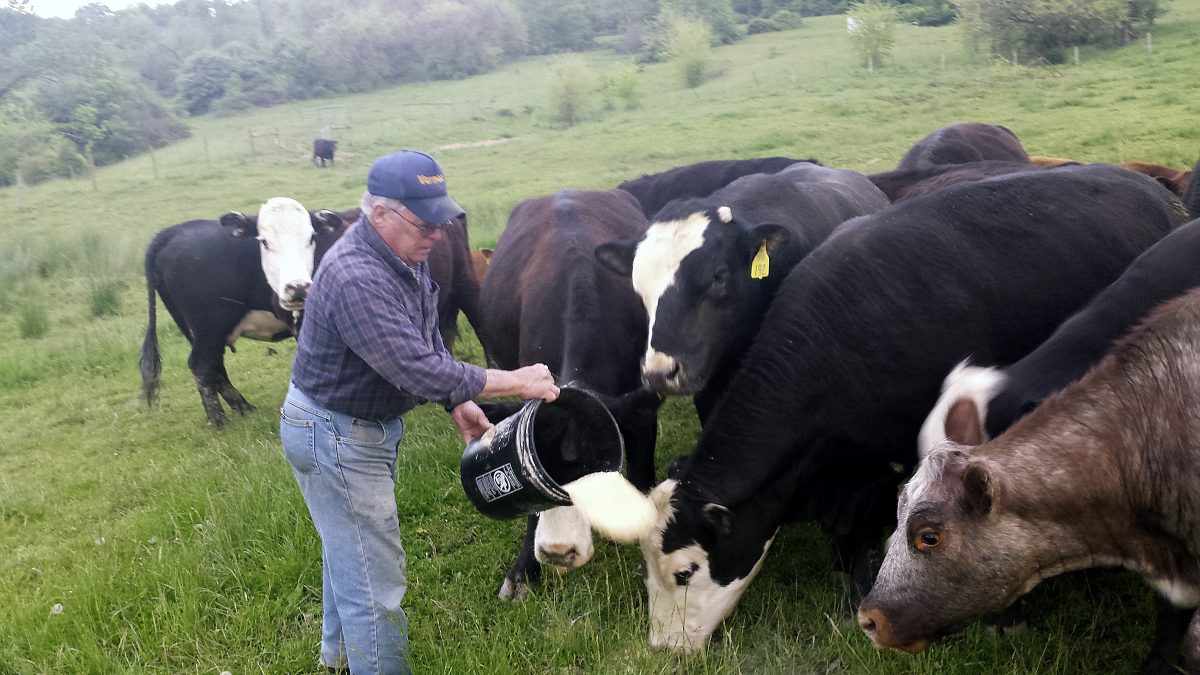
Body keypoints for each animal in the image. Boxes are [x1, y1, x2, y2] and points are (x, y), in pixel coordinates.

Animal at [140, 198, 347, 427]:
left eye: (311, 237)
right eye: (264, 242)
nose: (298, 288)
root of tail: (172, 231)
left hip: (198, 330)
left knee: (215, 366)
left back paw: (242, 407)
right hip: (209, 326)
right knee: (202, 366)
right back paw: (218, 421)